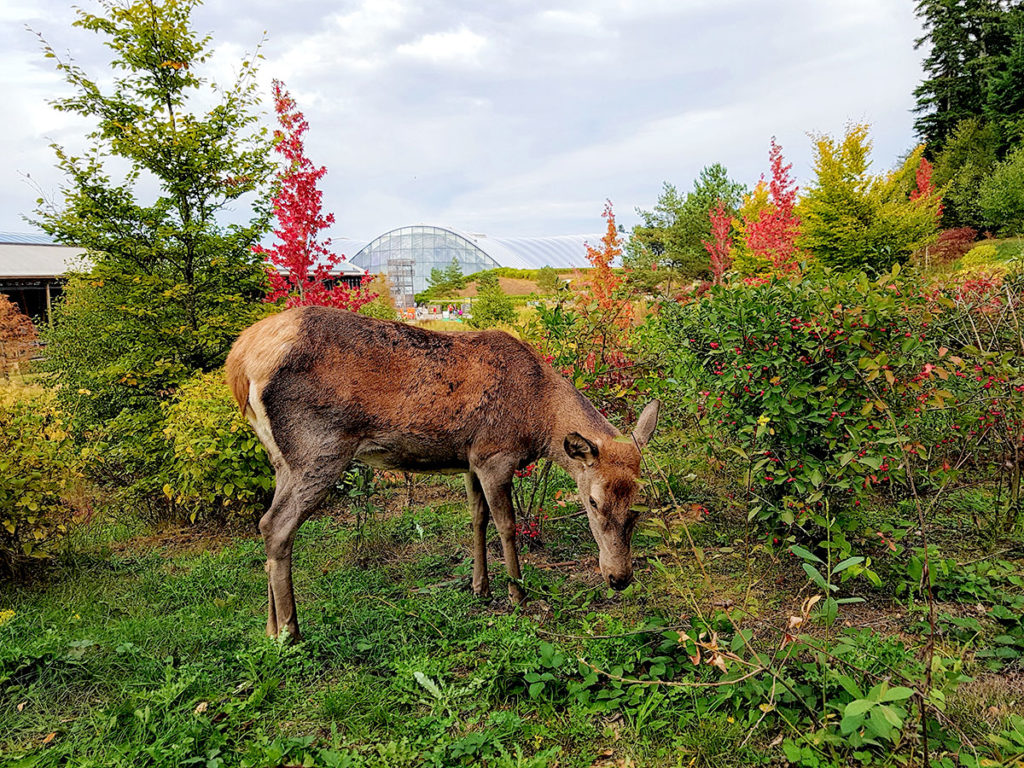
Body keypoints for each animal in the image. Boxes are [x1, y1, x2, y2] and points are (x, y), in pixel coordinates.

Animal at [227, 305, 659, 638]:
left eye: (639, 501)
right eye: (592, 501)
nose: (620, 578)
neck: (538, 418)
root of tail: (239, 362)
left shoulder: (469, 459)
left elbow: (477, 518)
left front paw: (480, 587)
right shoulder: (494, 453)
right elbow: (507, 525)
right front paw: (517, 593)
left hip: (282, 459)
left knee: (267, 525)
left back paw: (269, 627)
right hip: (318, 448)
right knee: (277, 525)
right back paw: (290, 631)